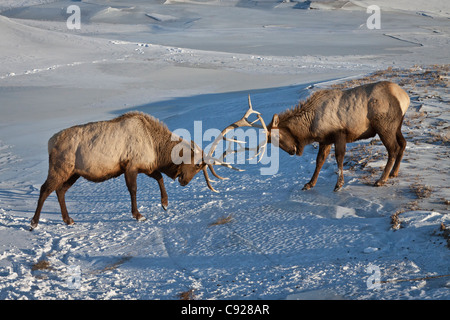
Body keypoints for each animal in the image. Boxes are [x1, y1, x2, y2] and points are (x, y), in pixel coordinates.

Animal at [31, 108, 266, 230]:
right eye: (198, 164)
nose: (184, 181)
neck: (157, 146)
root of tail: (49, 143)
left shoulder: (146, 165)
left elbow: (159, 177)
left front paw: (164, 203)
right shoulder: (131, 165)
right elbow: (134, 190)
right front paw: (138, 214)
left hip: (75, 173)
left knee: (60, 190)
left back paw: (68, 219)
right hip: (61, 167)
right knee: (45, 189)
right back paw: (34, 222)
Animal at [262, 81, 410, 191]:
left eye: (277, 137)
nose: (292, 151)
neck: (310, 125)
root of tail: (405, 98)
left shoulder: (339, 133)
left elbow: (339, 157)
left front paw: (338, 184)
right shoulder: (325, 139)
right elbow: (319, 161)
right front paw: (309, 183)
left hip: (385, 126)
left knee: (393, 148)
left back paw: (381, 179)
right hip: (397, 126)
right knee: (403, 143)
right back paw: (393, 173)